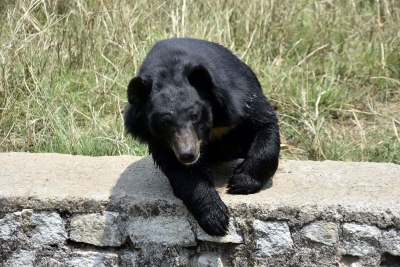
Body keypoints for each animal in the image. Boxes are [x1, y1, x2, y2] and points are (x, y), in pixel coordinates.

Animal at [126, 37, 282, 237]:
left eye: (194, 115)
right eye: (164, 123)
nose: (188, 154)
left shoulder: (239, 99)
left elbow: (264, 124)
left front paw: (240, 182)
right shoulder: (162, 142)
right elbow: (184, 173)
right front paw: (216, 218)